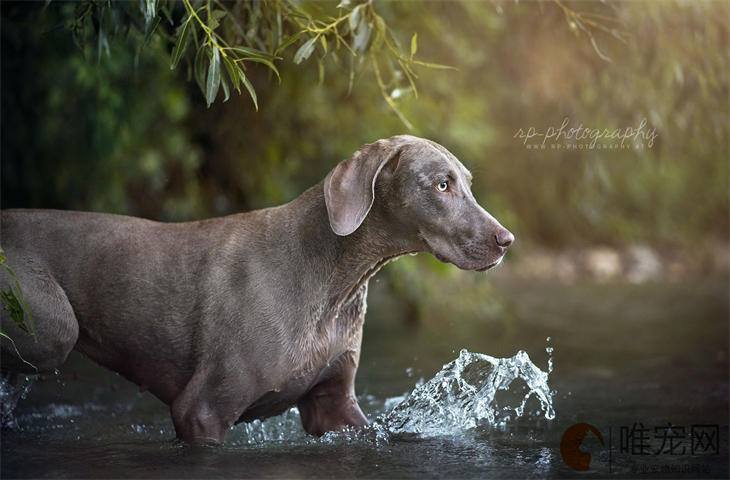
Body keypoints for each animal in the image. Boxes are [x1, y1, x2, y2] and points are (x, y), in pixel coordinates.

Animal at [0, 134, 512, 442]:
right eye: (442, 185)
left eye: (467, 183)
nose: (506, 240)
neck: (334, 281)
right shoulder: (201, 410)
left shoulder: (334, 404)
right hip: (54, 330)